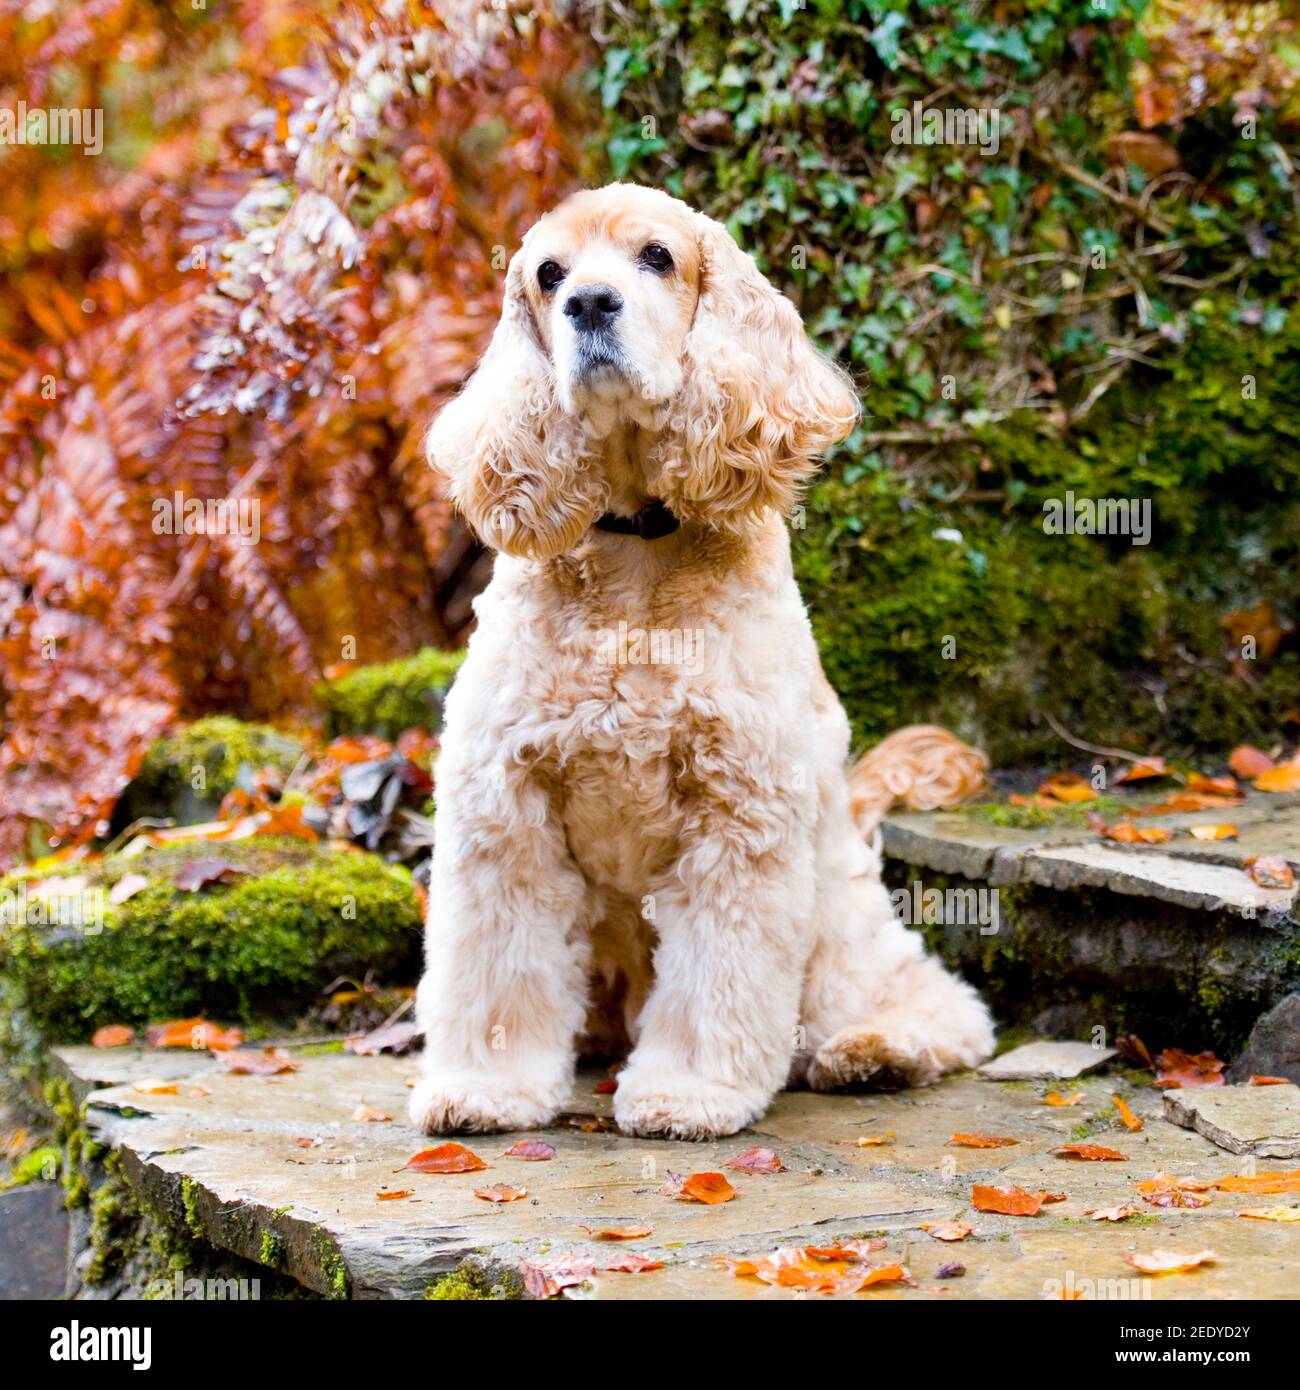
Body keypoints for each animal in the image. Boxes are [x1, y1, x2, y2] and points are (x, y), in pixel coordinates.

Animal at [408, 182, 995, 1139]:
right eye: (548, 274)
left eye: (656, 256)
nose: (588, 305)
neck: (635, 551)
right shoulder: (504, 808)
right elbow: (496, 964)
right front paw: (487, 1086)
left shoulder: (739, 813)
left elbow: (719, 974)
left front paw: (688, 1091)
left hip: (835, 919)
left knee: (933, 1001)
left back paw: (877, 1050)